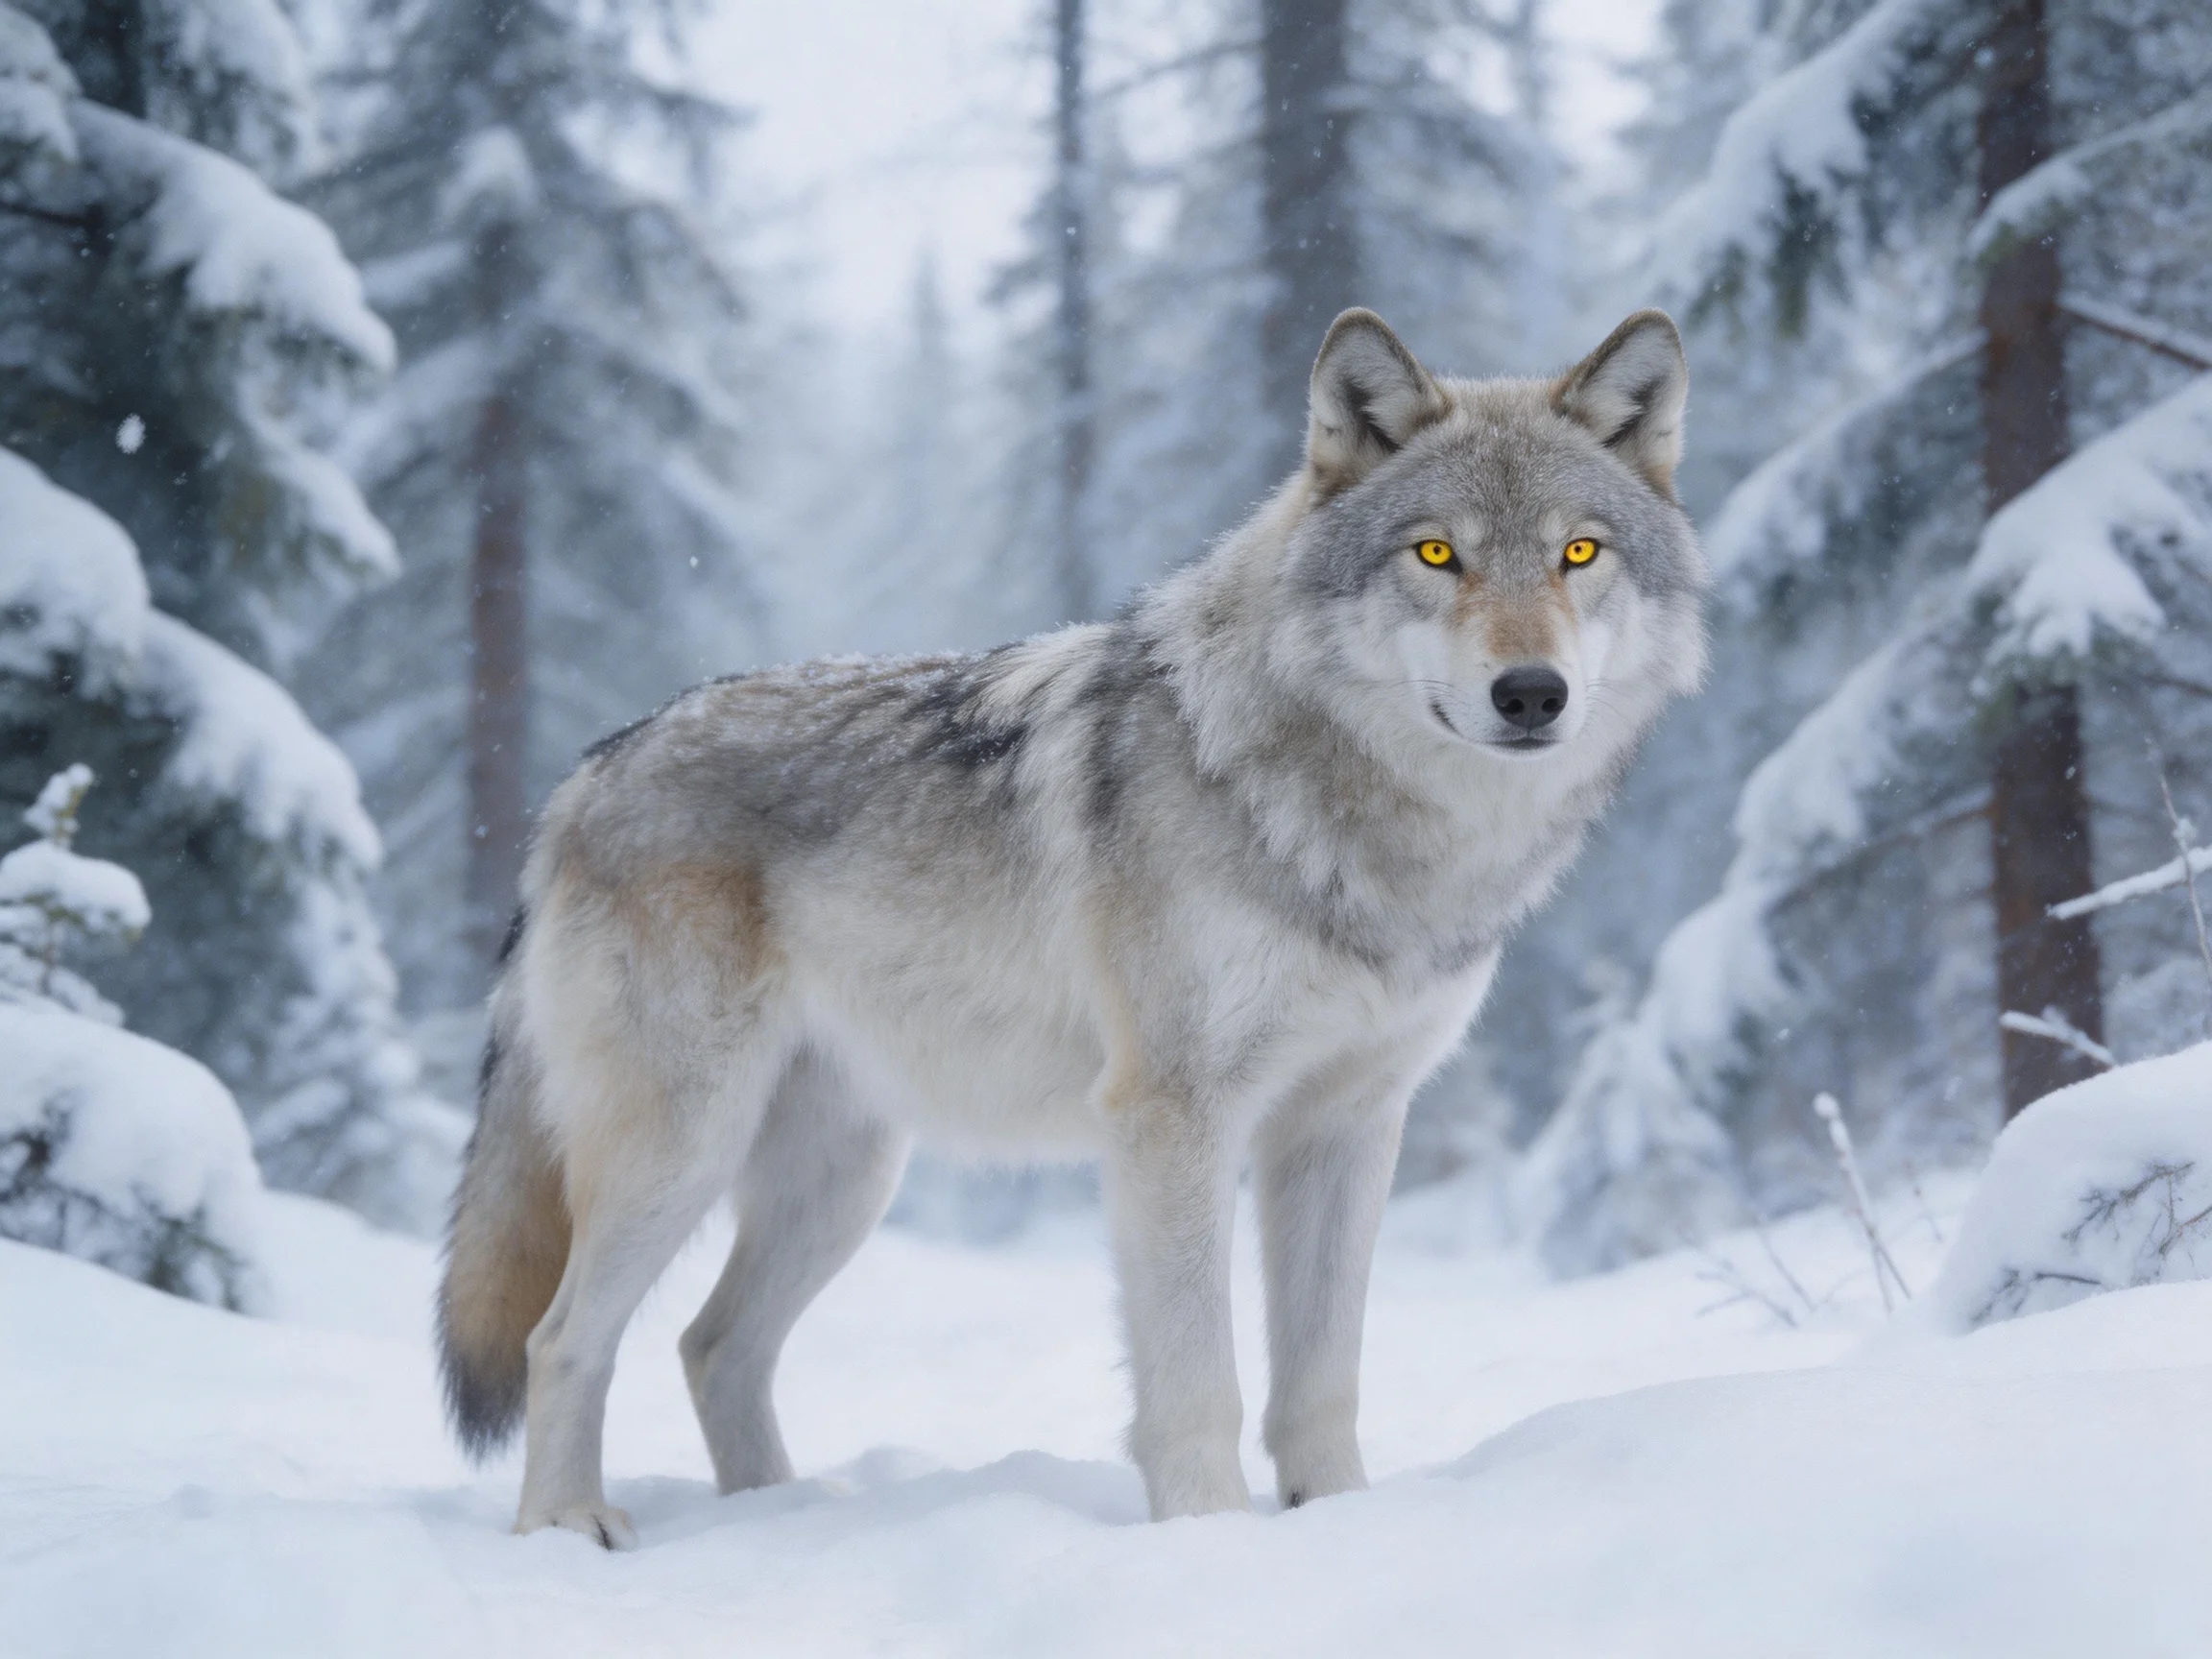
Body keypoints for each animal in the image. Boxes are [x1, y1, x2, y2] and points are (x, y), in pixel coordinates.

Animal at [438, 307, 1708, 1547]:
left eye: (1579, 552)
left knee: (712, 1345)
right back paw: (566, 1527)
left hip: (844, 1181)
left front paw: (1337, 1525)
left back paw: (777, 1516)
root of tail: (586, 774)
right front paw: (1209, 1546)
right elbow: (1199, 1381)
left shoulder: (1349, 1125)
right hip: (684, 1150)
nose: (1531, 694)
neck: (1362, 832)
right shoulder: (1174, 1119)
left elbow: (1321, 1379)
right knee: (564, 1338)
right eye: (1437, 553)